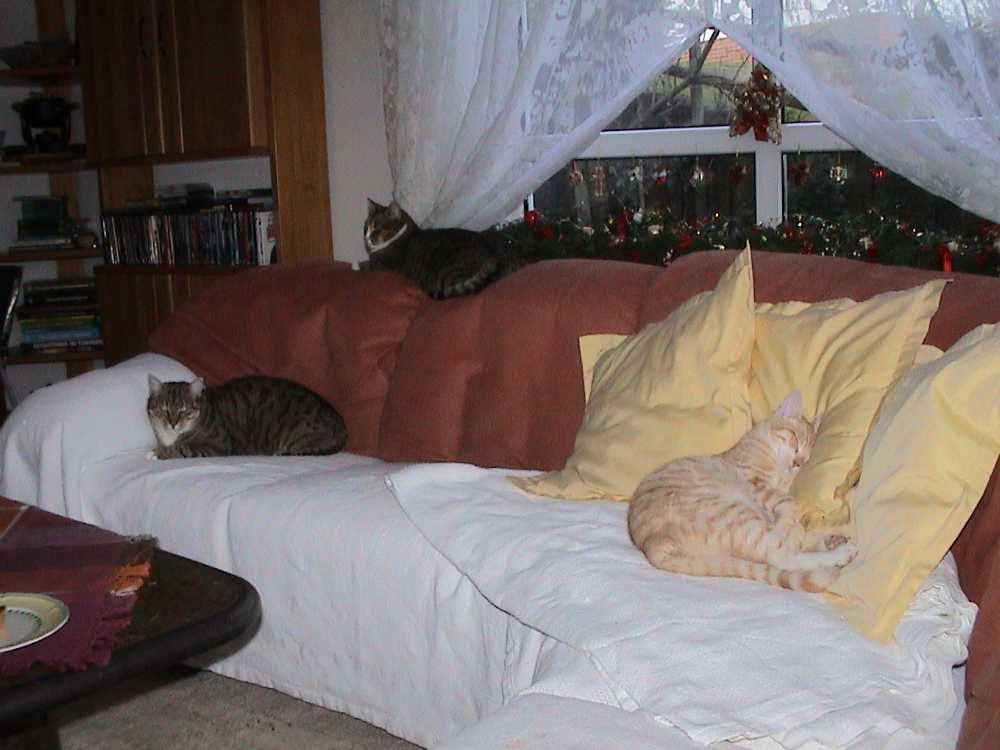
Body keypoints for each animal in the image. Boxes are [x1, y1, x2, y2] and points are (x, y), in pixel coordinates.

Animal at [147, 374, 347, 459]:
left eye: (184, 410)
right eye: (164, 409)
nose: (172, 424)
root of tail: (343, 430)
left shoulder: (217, 445)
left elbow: (183, 448)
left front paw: (157, 453)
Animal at [627, 391, 856, 592]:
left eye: (807, 457)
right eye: (795, 440)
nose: (798, 462)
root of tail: (650, 545)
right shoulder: (755, 481)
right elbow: (788, 504)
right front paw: (788, 521)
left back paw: (830, 542)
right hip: (736, 514)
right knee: (781, 554)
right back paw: (838, 551)